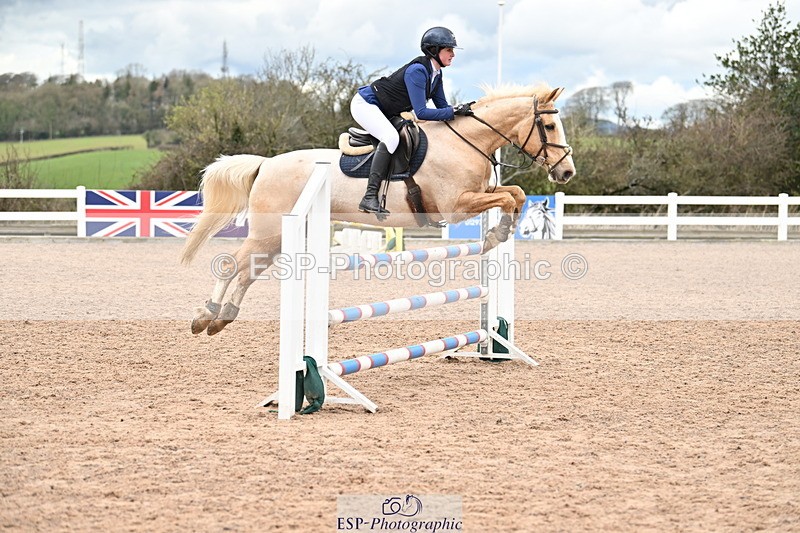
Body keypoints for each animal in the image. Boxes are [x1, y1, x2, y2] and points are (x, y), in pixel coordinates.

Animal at [181, 83, 576, 335]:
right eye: (549, 125)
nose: (567, 172)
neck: (467, 142)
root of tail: (265, 165)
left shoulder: (478, 193)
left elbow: (516, 194)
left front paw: (499, 233)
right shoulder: (455, 206)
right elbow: (508, 199)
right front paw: (497, 235)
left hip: (275, 237)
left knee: (247, 272)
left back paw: (222, 318)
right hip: (269, 231)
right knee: (232, 266)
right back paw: (204, 317)